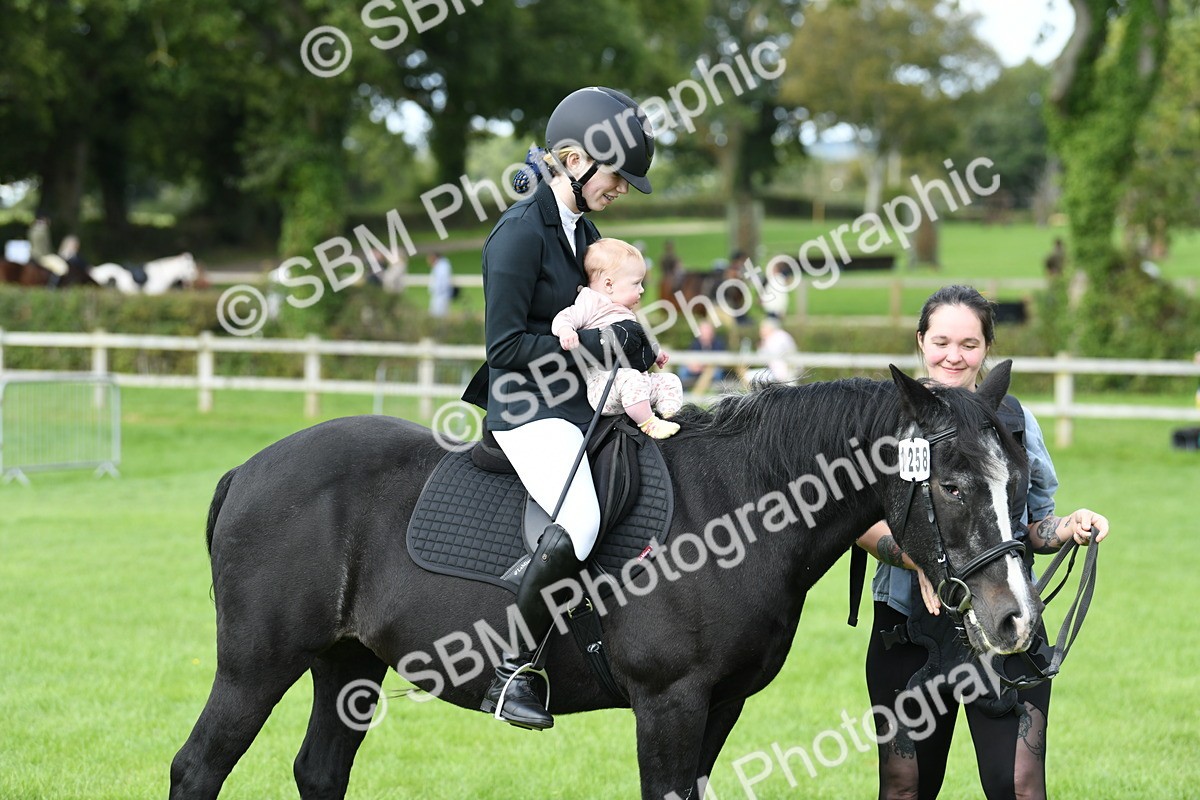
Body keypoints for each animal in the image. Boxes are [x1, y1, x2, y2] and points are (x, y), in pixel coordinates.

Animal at [170, 361, 1039, 799]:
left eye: (1024, 478)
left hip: (346, 665)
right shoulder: (668, 702)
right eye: (952, 484)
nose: (1016, 620)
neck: (737, 506)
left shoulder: (717, 706)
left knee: (319, 770)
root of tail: (249, 469)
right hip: (255, 669)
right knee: (197, 767)